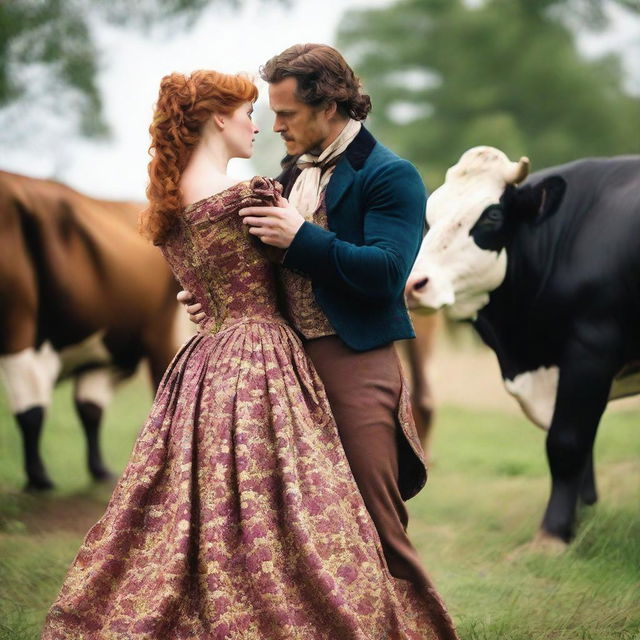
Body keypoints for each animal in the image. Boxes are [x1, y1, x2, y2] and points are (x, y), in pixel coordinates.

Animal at [404, 149, 640, 544]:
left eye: (492, 215)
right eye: (429, 217)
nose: (413, 284)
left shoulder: (591, 349)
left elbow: (568, 441)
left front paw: (554, 533)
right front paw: (584, 517)